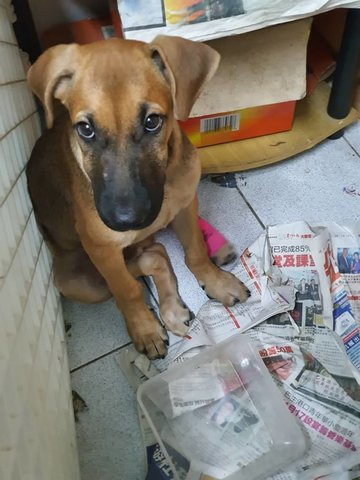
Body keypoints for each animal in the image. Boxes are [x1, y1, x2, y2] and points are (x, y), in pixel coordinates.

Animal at [27, 35, 250, 358]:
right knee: (147, 259)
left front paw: (217, 282)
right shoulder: (102, 249)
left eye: (152, 121)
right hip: (76, 281)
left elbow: (195, 251)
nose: (126, 220)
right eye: (85, 129)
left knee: (156, 252)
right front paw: (143, 328)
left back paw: (175, 309)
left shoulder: (185, 206)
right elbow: (127, 290)